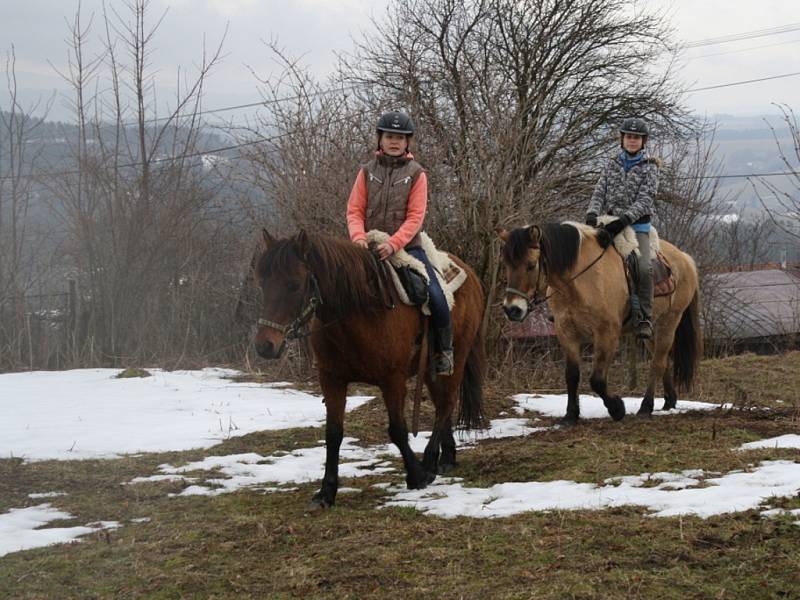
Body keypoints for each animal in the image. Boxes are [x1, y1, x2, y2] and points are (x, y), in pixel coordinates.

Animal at [255, 230, 488, 506]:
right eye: (263, 283)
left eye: (294, 285)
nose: (264, 346)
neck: (360, 310)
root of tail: (470, 274)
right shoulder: (331, 380)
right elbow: (333, 433)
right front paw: (326, 491)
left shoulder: (392, 380)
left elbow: (397, 430)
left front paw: (416, 476)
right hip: (432, 370)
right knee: (443, 404)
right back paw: (446, 459)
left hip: (457, 356)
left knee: (446, 404)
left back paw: (430, 461)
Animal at [496, 223, 704, 424]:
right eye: (506, 264)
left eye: (531, 265)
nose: (512, 309)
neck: (581, 279)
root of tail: (685, 258)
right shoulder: (566, 331)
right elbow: (572, 375)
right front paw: (570, 415)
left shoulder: (606, 333)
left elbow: (597, 380)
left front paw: (617, 408)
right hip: (651, 330)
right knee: (662, 360)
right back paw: (669, 401)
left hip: (669, 322)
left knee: (657, 364)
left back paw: (646, 407)